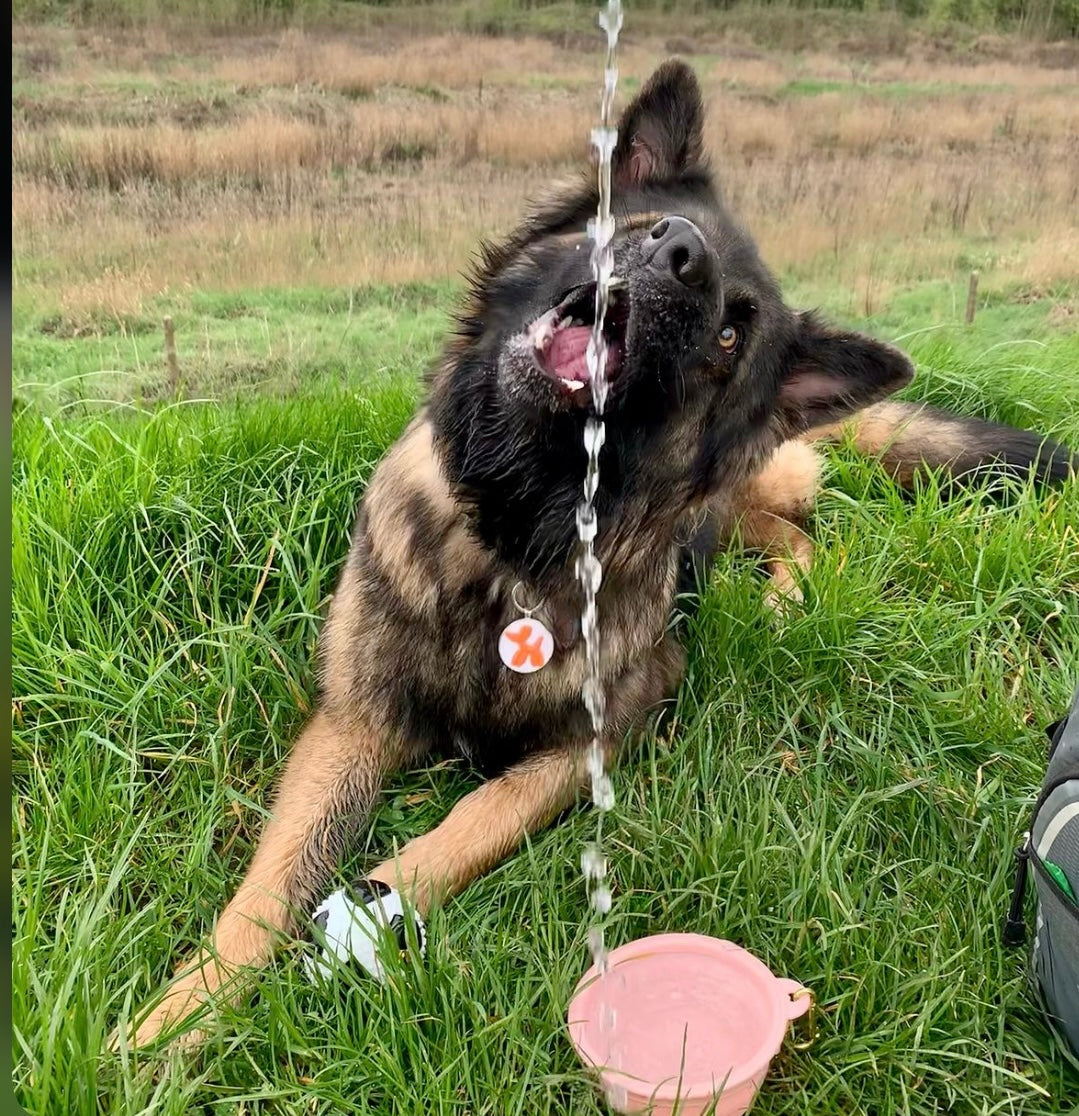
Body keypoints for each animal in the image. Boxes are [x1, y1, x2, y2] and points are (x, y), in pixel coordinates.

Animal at [122, 58, 1075, 1053]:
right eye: (646, 222)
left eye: (729, 334)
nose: (681, 255)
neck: (514, 531)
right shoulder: (354, 722)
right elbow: (273, 879)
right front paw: (178, 1015)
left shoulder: (602, 736)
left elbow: (476, 815)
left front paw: (376, 904)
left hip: (740, 497)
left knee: (802, 530)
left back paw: (783, 601)